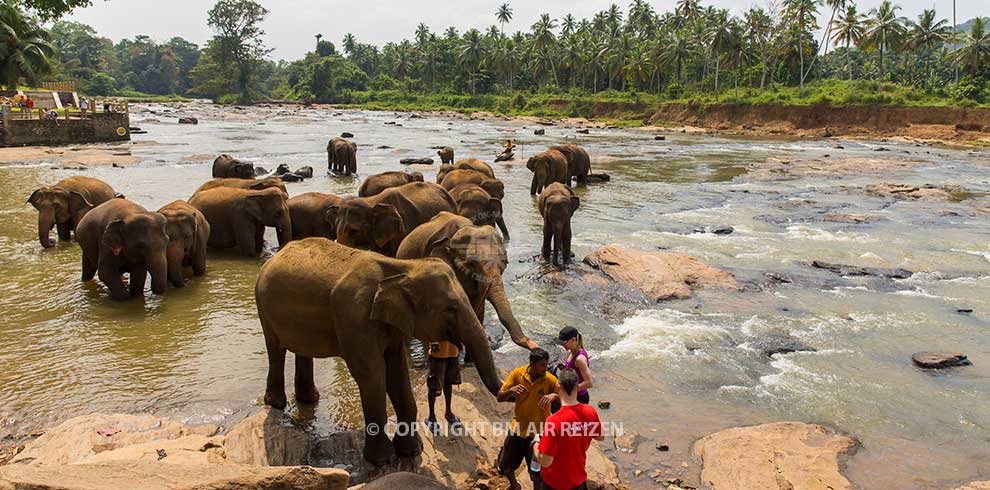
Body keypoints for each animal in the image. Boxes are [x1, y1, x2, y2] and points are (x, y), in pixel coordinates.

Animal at [256, 239, 504, 466]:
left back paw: (309, 399)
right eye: (450, 309)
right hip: (264, 307)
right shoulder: (354, 318)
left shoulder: (392, 323)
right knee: (275, 350)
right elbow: (372, 375)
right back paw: (276, 403)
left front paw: (411, 451)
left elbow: (397, 373)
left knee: (302, 351)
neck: (401, 268)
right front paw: (382, 460)